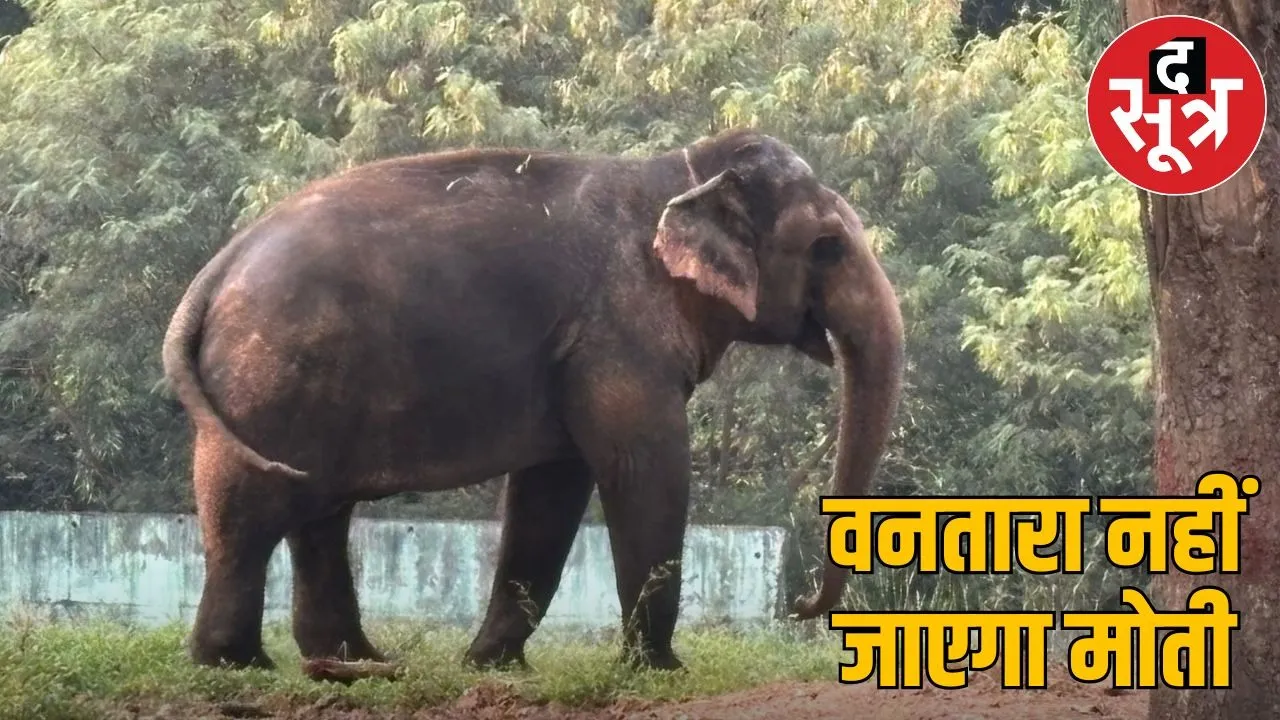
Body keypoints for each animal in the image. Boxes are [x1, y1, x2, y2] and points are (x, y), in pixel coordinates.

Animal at [161, 127, 905, 674]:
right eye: (828, 247)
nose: (800, 607)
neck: (682, 172)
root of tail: (218, 268)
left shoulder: (577, 352)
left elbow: (553, 488)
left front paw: (492, 665)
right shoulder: (619, 331)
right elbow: (644, 468)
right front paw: (661, 670)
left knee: (319, 513)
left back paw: (359, 662)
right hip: (268, 374)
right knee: (252, 506)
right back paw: (238, 665)